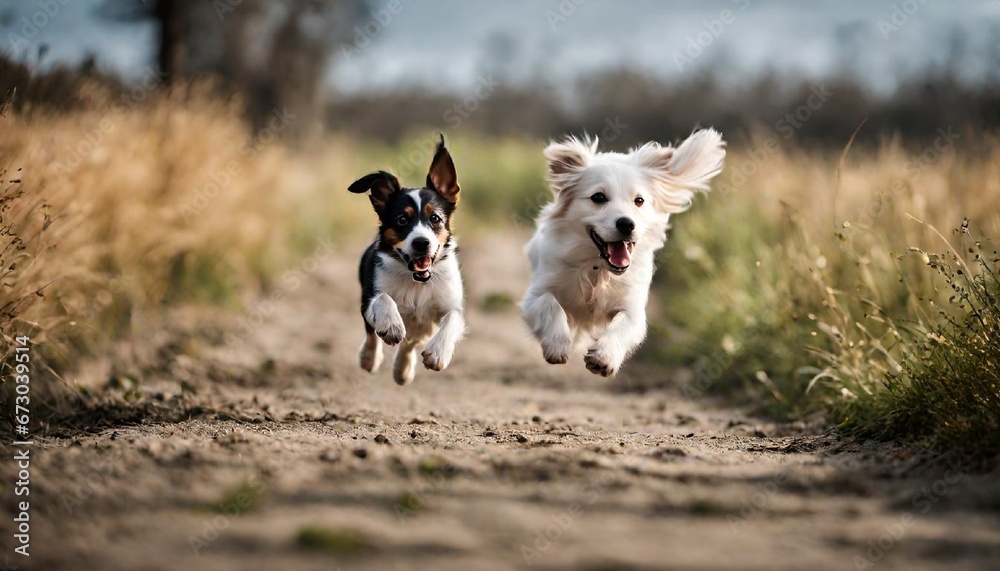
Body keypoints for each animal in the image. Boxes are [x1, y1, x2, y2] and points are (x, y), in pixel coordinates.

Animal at [348, 137, 464, 386]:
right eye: (402, 219)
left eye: (435, 218)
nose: (421, 242)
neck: (417, 282)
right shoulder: (369, 297)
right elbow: (383, 298)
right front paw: (392, 326)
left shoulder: (449, 302)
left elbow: (453, 317)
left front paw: (437, 353)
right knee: (373, 334)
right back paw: (369, 358)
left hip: (424, 326)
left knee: (411, 343)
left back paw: (402, 370)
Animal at [524, 131, 728, 378]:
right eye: (598, 197)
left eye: (639, 200)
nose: (627, 224)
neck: (598, 269)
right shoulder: (535, 295)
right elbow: (549, 303)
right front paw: (557, 345)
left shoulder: (633, 309)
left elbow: (622, 325)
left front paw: (604, 358)